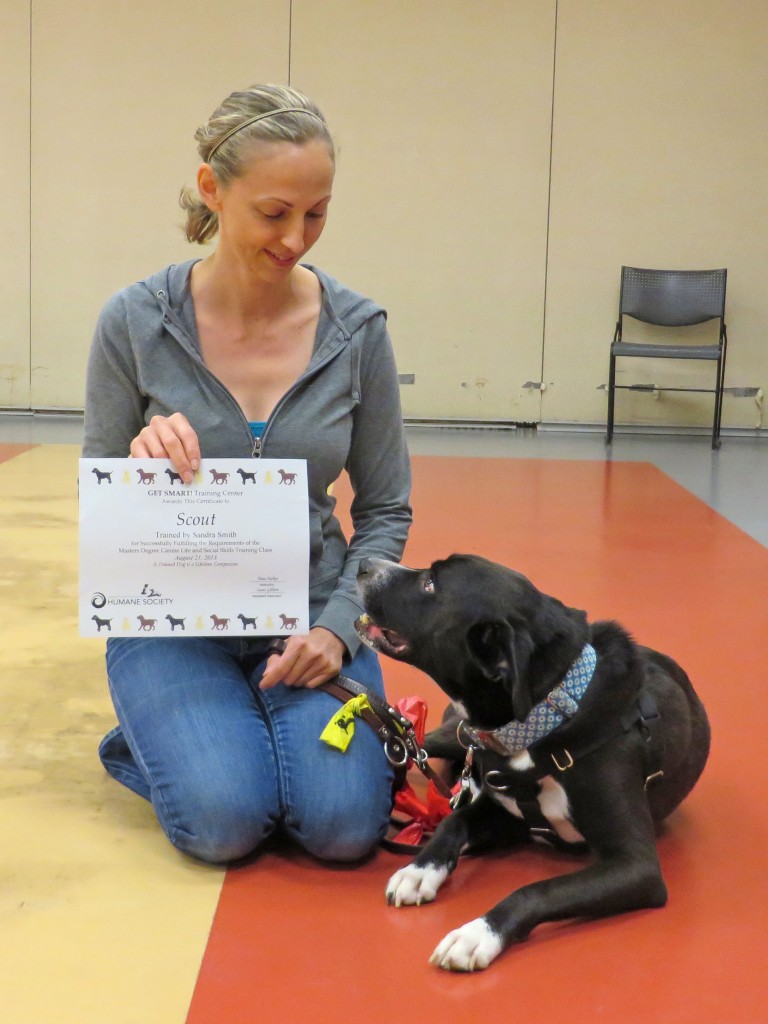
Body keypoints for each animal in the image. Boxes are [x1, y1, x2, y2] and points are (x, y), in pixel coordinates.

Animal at [358, 557, 712, 970]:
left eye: (431, 583)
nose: (364, 563)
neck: (552, 712)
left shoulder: (637, 866)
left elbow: (538, 890)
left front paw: (478, 933)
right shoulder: (503, 809)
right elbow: (452, 822)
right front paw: (419, 870)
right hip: (454, 736)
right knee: (415, 741)